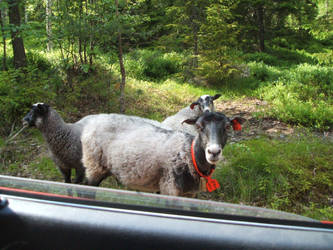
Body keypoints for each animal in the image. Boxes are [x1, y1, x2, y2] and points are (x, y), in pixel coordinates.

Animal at [80, 111, 241, 195]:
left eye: (227, 127)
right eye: (199, 127)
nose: (213, 152)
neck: (189, 155)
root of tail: (90, 124)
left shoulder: (189, 193)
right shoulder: (170, 188)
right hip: (94, 166)